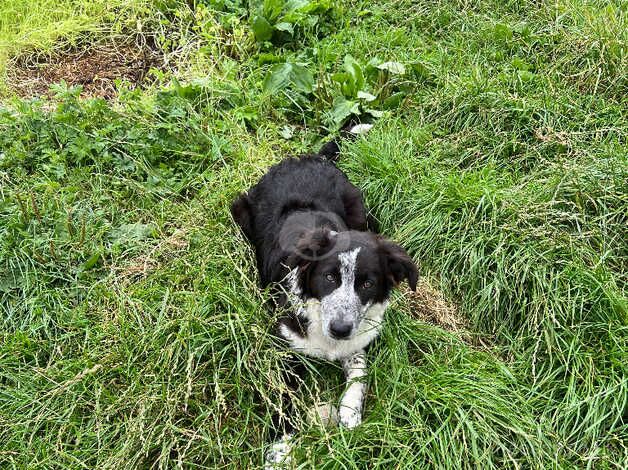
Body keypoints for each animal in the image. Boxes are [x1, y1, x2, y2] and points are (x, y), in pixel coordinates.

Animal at [229, 127, 418, 466]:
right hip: (241, 210)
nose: (340, 329)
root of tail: (310, 158)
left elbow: (359, 371)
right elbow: (284, 399)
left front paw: (350, 413)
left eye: (367, 284)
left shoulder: (357, 342)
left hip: (360, 209)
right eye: (329, 277)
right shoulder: (283, 349)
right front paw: (281, 448)